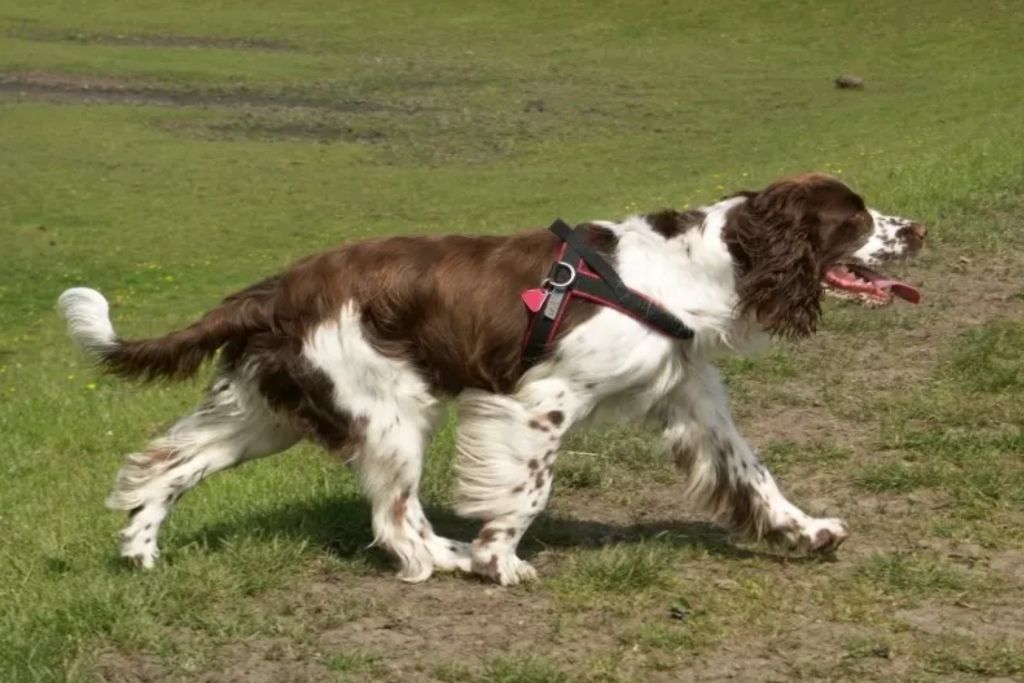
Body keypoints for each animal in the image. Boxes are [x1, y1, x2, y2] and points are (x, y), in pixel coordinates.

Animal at [61, 174, 929, 585]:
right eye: (856, 219)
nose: (918, 228)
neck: (693, 268)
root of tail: (280, 285)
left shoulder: (694, 399)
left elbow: (756, 474)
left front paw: (808, 531)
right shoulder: (540, 400)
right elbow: (529, 490)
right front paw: (499, 558)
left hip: (268, 411)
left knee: (166, 466)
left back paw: (140, 551)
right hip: (392, 409)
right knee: (396, 520)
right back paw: (449, 558)